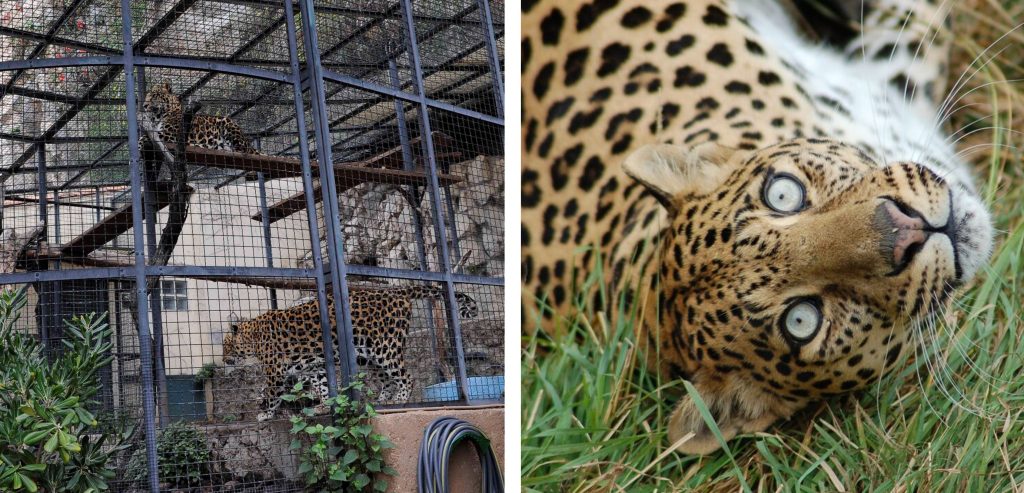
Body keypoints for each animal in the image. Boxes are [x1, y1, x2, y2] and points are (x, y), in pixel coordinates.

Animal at [222, 284, 477, 418]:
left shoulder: (275, 371)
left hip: (385, 347)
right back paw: (381, 402)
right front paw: (324, 406)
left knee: (406, 377)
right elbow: (323, 386)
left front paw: (266, 413)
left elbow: (273, 393)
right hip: (368, 355)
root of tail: (398, 290)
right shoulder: (312, 367)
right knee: (387, 381)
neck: (253, 336)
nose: (224, 360)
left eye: (226, 345)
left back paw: (400, 401)